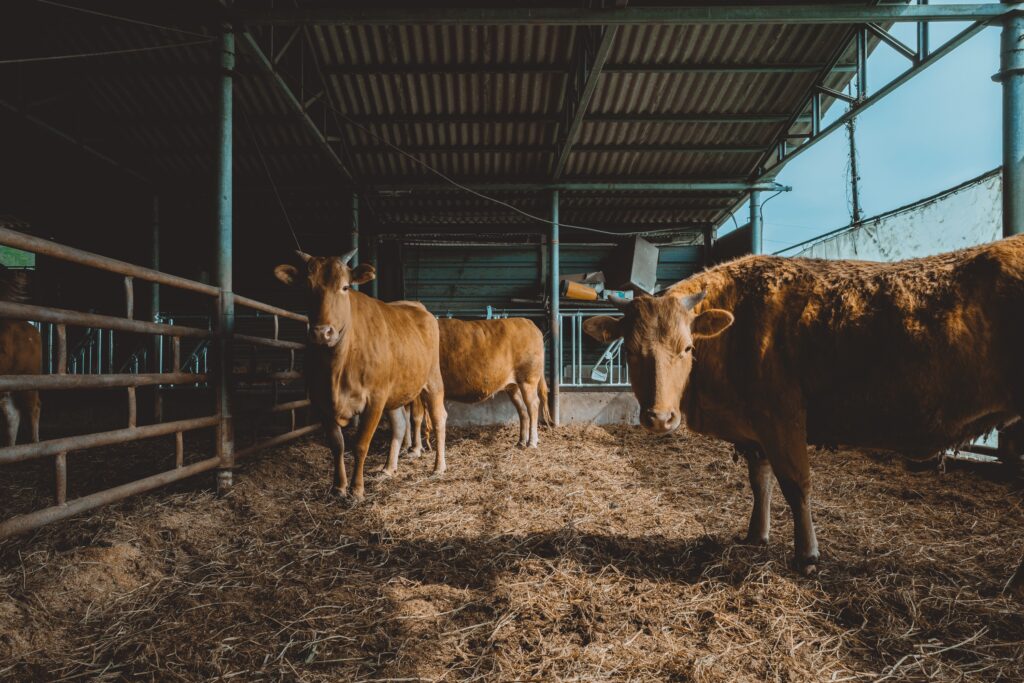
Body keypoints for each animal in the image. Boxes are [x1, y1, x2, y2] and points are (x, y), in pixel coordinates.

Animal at [274, 249, 447, 500]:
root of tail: (419, 308)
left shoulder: (375, 399)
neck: (336, 368)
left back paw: (438, 467)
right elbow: (337, 445)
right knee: (400, 425)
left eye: (345, 287)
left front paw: (356, 489)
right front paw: (338, 487)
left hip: (432, 380)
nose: (322, 332)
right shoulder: (320, 401)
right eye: (307, 287)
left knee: (439, 417)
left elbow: (360, 444)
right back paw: (388, 469)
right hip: (393, 392)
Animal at [583, 235, 1024, 585]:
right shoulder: (755, 430)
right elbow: (760, 482)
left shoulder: (782, 419)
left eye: (688, 347)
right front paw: (756, 534)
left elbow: (796, 485)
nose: (660, 418)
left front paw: (807, 556)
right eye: (631, 352)